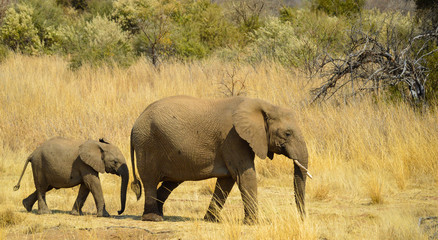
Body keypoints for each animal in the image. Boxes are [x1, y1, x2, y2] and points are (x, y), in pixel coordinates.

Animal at [130, 95, 312, 223]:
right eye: (287, 134)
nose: (302, 219)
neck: (262, 105)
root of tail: (135, 123)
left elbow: (227, 180)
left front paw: (211, 220)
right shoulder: (233, 138)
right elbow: (244, 175)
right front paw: (253, 223)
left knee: (170, 182)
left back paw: (160, 214)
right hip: (147, 144)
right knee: (150, 180)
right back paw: (154, 218)